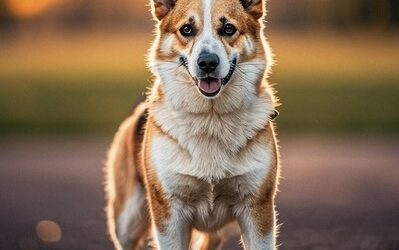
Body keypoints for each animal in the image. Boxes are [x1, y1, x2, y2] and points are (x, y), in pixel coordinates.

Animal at [106, 0, 282, 249]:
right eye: (186, 30)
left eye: (228, 28)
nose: (207, 63)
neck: (210, 118)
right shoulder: (170, 215)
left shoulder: (258, 210)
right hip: (126, 222)